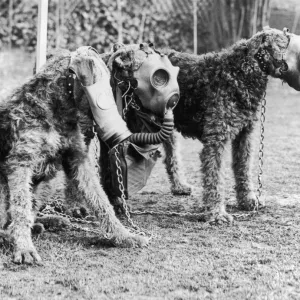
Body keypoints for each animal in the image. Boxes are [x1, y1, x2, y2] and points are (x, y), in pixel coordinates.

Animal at [162, 27, 300, 223]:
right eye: (286, 41)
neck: (240, 72)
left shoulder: (245, 134)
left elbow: (243, 168)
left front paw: (248, 200)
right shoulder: (216, 138)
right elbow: (214, 177)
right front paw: (216, 213)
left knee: (170, 158)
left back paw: (180, 186)